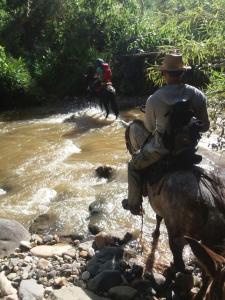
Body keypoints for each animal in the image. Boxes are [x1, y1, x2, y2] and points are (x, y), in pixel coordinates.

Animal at [125, 120, 225, 272]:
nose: (131, 151)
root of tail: (210, 203)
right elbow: (158, 218)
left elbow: (158, 217)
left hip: (178, 233)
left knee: (178, 256)